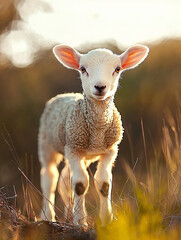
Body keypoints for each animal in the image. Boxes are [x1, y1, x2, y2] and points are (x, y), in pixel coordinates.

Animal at [38, 43, 148, 227]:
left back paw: (68, 214)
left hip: (77, 153)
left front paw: (107, 219)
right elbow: (80, 184)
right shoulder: (74, 148)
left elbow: (104, 183)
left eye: (117, 69)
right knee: (49, 178)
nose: (100, 87)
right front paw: (81, 222)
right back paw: (48, 216)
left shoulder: (110, 150)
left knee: (65, 181)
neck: (97, 129)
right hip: (48, 145)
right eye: (83, 69)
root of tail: (64, 94)